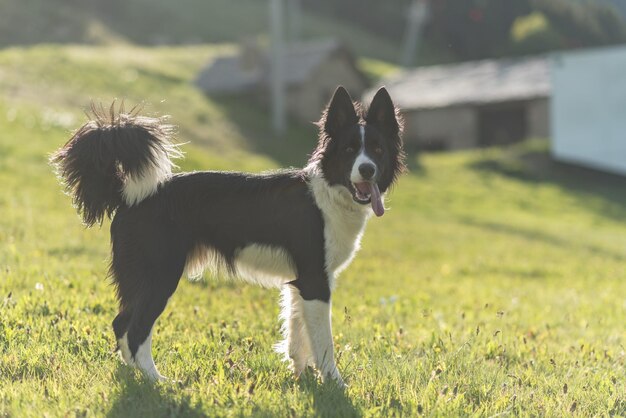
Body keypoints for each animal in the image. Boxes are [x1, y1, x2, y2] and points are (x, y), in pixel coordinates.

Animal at [53, 86, 404, 386]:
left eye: (377, 149)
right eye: (349, 150)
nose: (367, 170)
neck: (330, 194)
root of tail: (130, 195)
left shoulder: (302, 281)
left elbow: (297, 334)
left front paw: (301, 376)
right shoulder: (316, 282)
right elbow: (324, 342)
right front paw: (335, 384)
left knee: (121, 324)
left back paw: (135, 375)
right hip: (160, 276)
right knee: (135, 327)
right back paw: (158, 381)